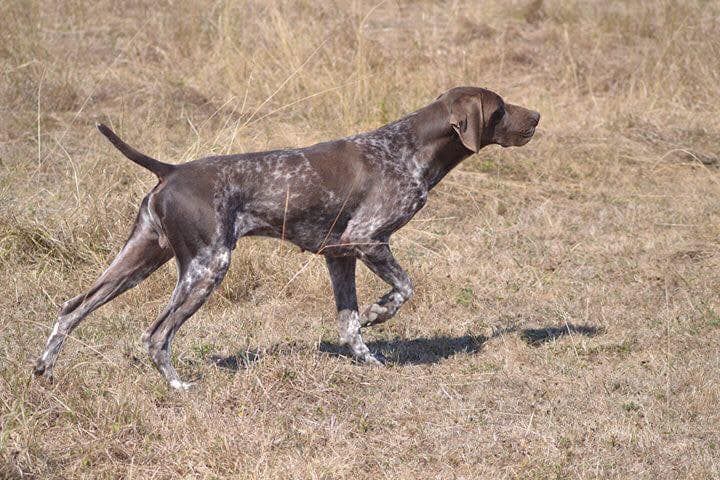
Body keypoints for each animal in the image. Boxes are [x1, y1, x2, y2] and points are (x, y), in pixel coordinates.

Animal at [35, 86, 540, 388]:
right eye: (500, 109)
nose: (537, 115)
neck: (407, 149)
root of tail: (172, 170)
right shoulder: (368, 239)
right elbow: (403, 289)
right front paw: (380, 313)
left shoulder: (339, 254)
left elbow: (349, 325)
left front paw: (369, 360)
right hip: (207, 267)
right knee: (156, 333)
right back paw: (178, 386)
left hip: (140, 260)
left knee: (71, 308)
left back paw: (44, 369)